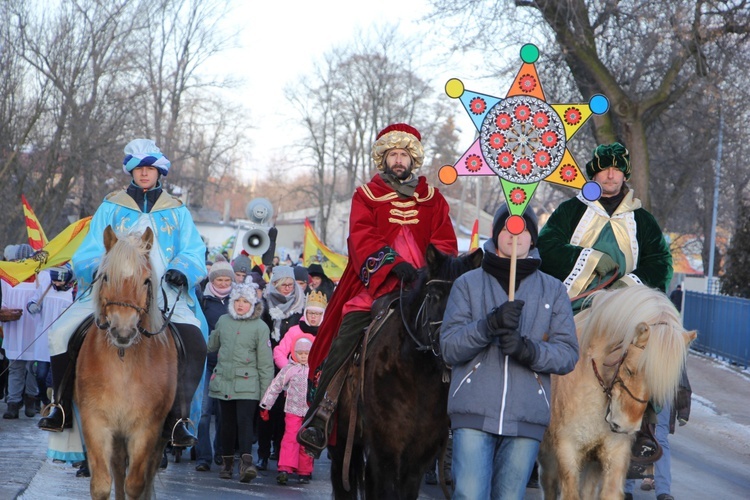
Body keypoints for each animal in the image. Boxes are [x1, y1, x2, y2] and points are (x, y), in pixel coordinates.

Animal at [75, 228, 178, 500]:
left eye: (146, 280)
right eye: (106, 277)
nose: (123, 330)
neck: (123, 362)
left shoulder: (146, 429)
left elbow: (136, 484)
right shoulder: (96, 422)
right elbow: (102, 484)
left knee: (147, 472)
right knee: (119, 468)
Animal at [330, 246, 482, 500]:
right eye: (435, 296)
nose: (451, 345)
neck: (419, 377)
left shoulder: (419, 454)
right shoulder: (387, 445)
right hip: (342, 435)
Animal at [540, 286, 700, 500]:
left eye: (662, 384)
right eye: (630, 370)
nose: (626, 426)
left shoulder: (614, 453)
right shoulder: (567, 448)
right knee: (549, 483)